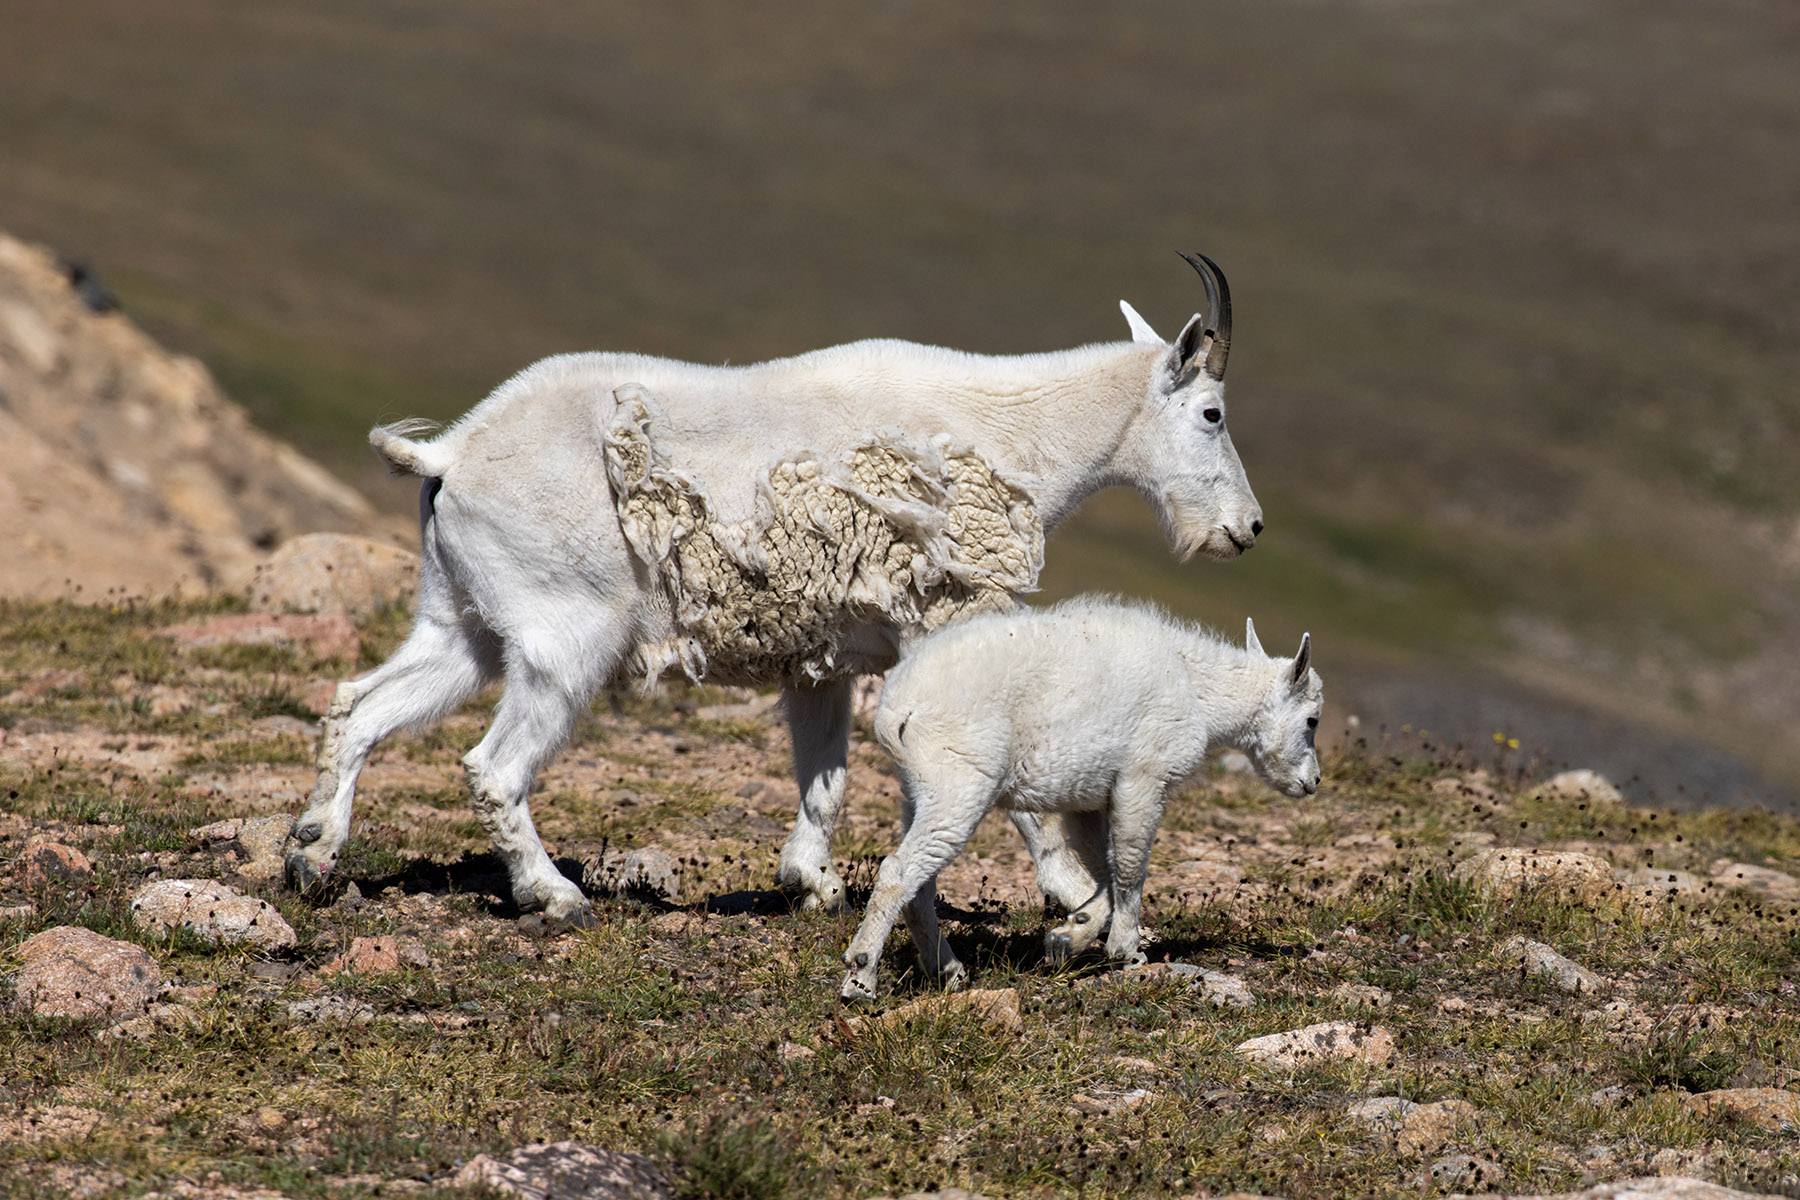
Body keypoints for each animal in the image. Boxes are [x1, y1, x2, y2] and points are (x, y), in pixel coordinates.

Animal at [283, 254, 1264, 924]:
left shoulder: (825, 656)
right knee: (493, 768)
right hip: (566, 636)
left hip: (462, 623)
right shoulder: (947, 623)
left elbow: (824, 776)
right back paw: (556, 896)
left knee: (360, 706)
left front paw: (812, 885)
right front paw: (1072, 893)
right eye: (1212, 413)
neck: (1014, 434)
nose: (1247, 529)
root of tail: (450, 454)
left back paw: (312, 855)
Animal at [841, 601, 1321, 1000]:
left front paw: (1070, 935)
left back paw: (948, 970)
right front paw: (1126, 951)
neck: (1199, 691)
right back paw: (861, 978)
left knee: (919, 883)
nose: (1312, 782)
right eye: (1313, 720)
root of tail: (895, 710)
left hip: (918, 790)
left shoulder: (1087, 798)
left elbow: (1104, 867)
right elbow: (1130, 865)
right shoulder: (1144, 778)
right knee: (899, 873)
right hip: (958, 784)